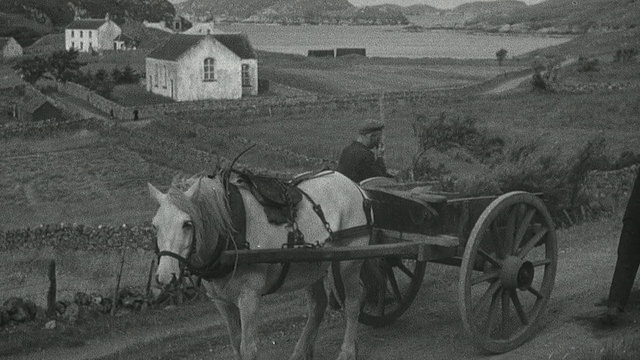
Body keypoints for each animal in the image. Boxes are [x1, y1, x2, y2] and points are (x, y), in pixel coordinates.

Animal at [147, 171, 370, 360]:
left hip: (348, 262)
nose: (165, 277)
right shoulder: (221, 302)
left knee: (353, 302)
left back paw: (347, 351)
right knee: (318, 305)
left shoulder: (249, 297)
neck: (230, 233)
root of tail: (353, 185)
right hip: (311, 266)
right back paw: (303, 352)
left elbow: (248, 348)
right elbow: (236, 344)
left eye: (187, 224)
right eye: (155, 225)